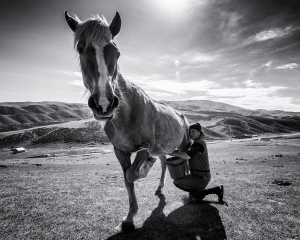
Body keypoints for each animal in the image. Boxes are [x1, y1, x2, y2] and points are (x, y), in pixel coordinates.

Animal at [64, 10, 190, 231]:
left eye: (117, 53)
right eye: (80, 49)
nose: (104, 103)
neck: (126, 113)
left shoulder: (146, 147)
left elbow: (133, 174)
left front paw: (144, 170)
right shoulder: (120, 151)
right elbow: (127, 179)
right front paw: (129, 217)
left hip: (182, 144)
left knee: (187, 160)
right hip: (164, 149)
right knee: (164, 164)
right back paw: (159, 187)